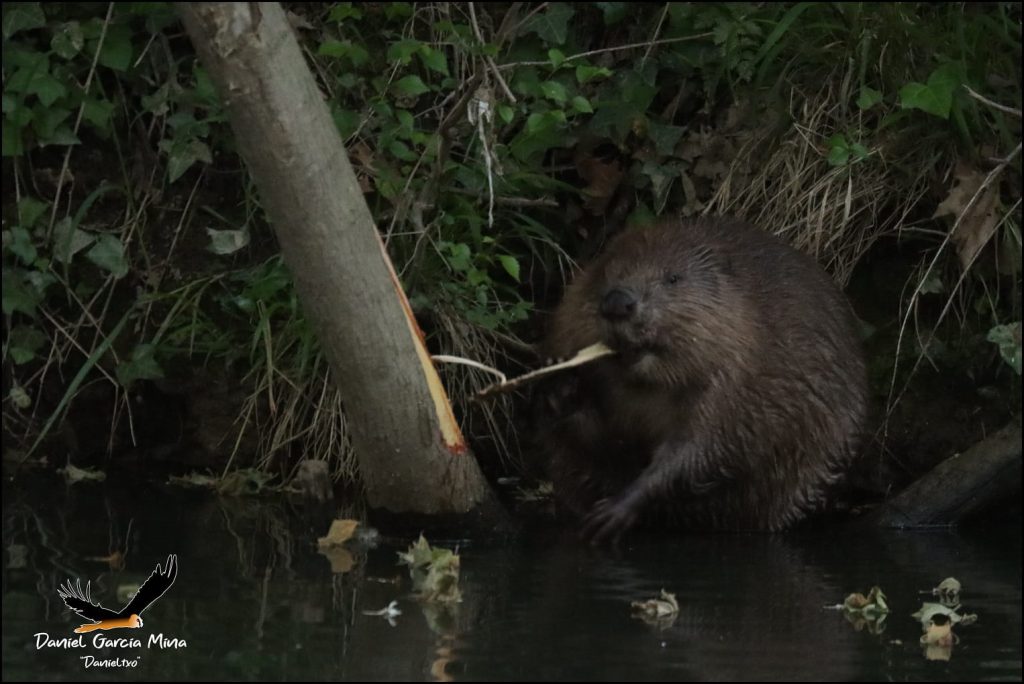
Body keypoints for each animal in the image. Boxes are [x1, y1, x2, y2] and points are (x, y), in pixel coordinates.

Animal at [540, 216, 868, 540]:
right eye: (606, 271)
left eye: (673, 278)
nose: (618, 302)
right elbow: (598, 442)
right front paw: (560, 385)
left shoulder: (735, 383)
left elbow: (705, 451)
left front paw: (612, 512)